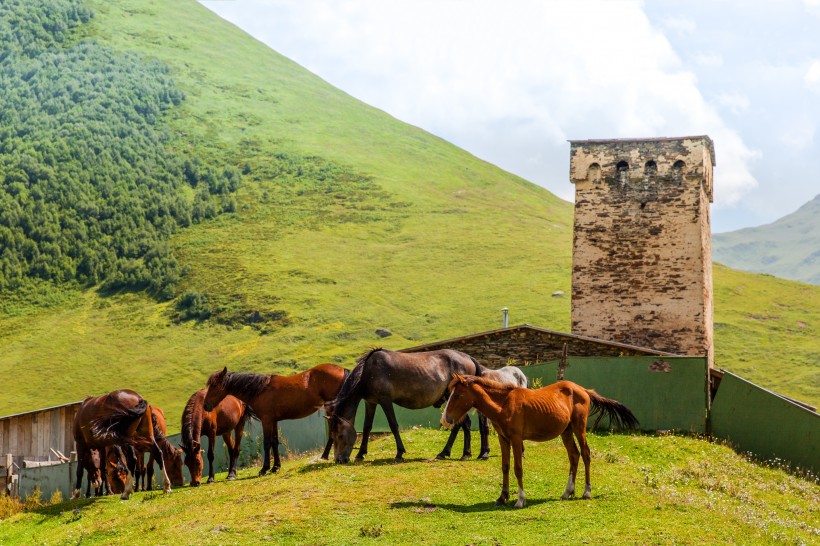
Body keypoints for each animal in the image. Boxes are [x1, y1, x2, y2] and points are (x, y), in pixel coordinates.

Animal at [205, 364, 350, 474]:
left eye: (214, 386)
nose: (206, 405)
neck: (260, 390)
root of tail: (342, 369)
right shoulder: (273, 421)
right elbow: (274, 442)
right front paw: (275, 466)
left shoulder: (266, 421)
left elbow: (267, 443)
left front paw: (264, 469)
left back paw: (327, 455)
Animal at [330, 348, 490, 464]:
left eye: (340, 435)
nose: (339, 460)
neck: (367, 372)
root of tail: (468, 357)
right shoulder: (371, 402)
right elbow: (367, 427)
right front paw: (360, 454)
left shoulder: (385, 400)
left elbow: (393, 425)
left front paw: (399, 453)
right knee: (465, 424)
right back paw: (466, 453)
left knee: (459, 425)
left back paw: (446, 452)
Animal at [442, 374, 640, 506]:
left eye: (457, 395)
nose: (445, 420)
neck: (504, 404)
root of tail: (582, 390)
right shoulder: (503, 438)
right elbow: (505, 467)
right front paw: (502, 497)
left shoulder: (516, 439)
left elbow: (518, 468)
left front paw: (520, 500)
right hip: (566, 432)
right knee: (574, 456)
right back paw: (567, 492)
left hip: (578, 428)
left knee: (585, 454)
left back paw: (586, 492)